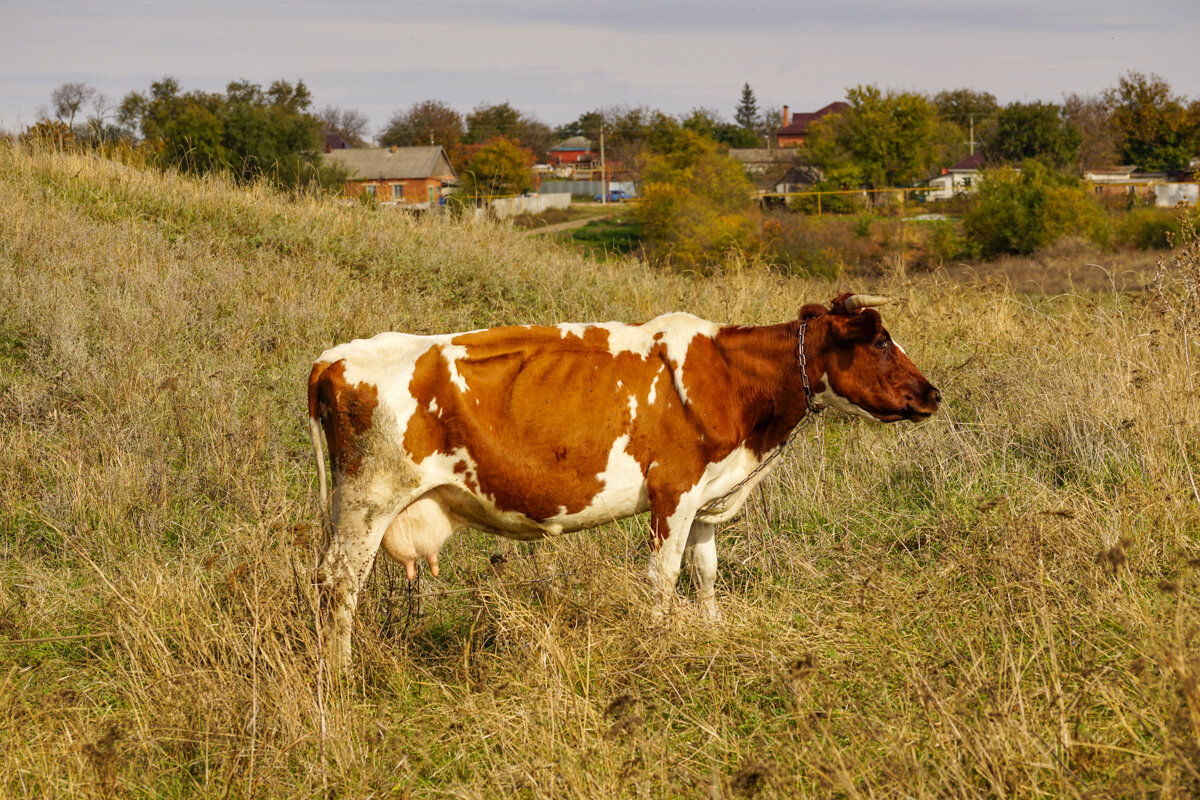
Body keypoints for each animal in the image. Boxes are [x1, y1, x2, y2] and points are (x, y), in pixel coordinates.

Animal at [307, 293, 936, 671]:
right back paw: (340, 673)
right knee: (339, 583)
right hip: (366, 501)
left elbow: (706, 571)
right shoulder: (673, 492)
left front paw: (711, 630)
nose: (934, 392)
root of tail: (332, 357)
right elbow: (664, 577)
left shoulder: (705, 498)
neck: (730, 378)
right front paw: (660, 646)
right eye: (881, 341)